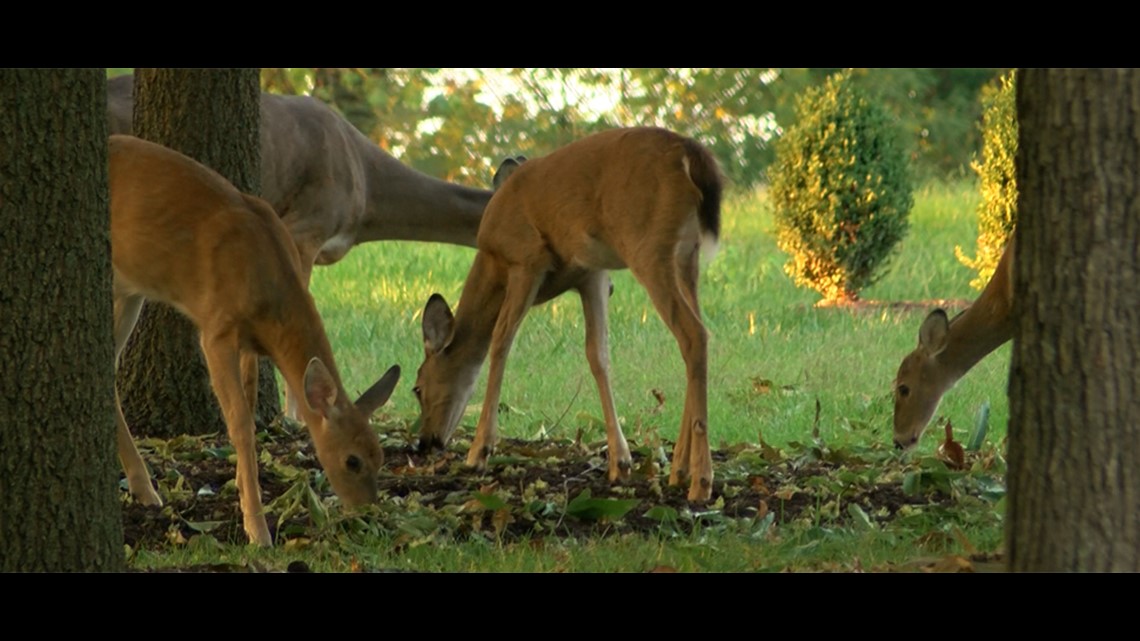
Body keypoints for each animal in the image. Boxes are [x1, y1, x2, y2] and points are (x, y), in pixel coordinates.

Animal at [109, 134, 400, 546]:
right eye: (352, 460)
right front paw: (257, 528)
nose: (368, 510)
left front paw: (239, 486)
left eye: (380, 456)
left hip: (131, 290)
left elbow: (247, 404)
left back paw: (144, 489)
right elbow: (240, 423)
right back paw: (145, 486)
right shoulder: (216, 328)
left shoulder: (250, 342)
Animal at [413, 127, 722, 502]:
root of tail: (692, 153)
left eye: (417, 387)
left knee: (695, 335)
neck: (492, 258)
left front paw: (478, 453)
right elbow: (598, 355)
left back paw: (701, 482)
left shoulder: (526, 259)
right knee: (694, 336)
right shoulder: (591, 275)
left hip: (648, 245)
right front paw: (620, 462)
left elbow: (500, 343)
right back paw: (678, 470)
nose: (425, 442)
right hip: (687, 256)